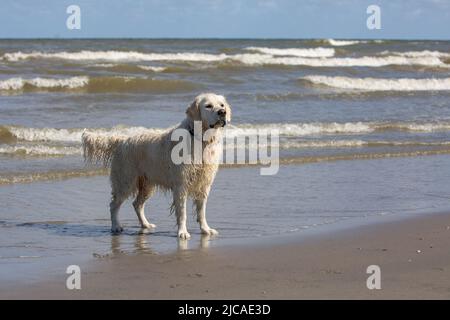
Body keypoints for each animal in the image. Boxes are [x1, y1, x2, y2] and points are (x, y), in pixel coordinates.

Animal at [82, 92, 232, 238]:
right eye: (208, 106)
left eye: (221, 105)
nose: (222, 112)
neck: (200, 139)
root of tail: (121, 140)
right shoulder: (181, 185)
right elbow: (182, 213)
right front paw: (182, 232)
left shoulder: (204, 184)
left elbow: (202, 211)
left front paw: (206, 229)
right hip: (125, 181)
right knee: (114, 205)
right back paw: (116, 226)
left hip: (147, 185)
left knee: (137, 204)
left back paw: (145, 225)